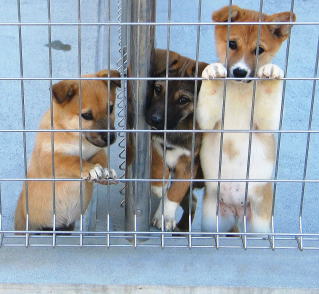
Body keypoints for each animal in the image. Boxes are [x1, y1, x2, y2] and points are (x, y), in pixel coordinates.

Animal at [14, 69, 121, 232]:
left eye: (110, 108)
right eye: (87, 115)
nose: (110, 138)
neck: (77, 137)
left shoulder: (96, 151)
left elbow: (101, 159)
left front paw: (106, 172)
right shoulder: (49, 158)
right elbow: (73, 160)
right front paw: (90, 169)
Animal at [146, 48, 209, 232]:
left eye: (183, 100)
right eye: (158, 89)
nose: (154, 119)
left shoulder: (189, 163)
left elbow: (175, 191)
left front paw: (166, 216)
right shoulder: (152, 138)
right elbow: (158, 159)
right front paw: (159, 184)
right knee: (192, 201)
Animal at [198, 5, 298, 233]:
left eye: (259, 50)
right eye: (232, 44)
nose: (239, 71)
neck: (240, 90)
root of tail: (236, 209)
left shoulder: (266, 125)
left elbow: (269, 90)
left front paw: (271, 72)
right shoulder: (207, 121)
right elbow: (209, 91)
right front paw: (213, 70)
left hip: (258, 225)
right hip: (211, 221)